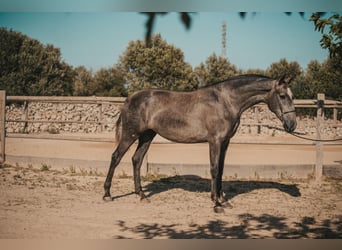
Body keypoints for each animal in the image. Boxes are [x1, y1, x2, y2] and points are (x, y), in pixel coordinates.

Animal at [102, 74, 296, 213]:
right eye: (282, 96)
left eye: (291, 96)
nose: (292, 124)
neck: (226, 101)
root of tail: (131, 97)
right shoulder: (215, 141)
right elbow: (214, 169)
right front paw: (216, 204)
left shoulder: (225, 142)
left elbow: (221, 170)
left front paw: (223, 200)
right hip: (130, 134)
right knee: (115, 157)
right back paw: (107, 194)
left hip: (147, 135)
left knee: (137, 159)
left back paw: (141, 195)